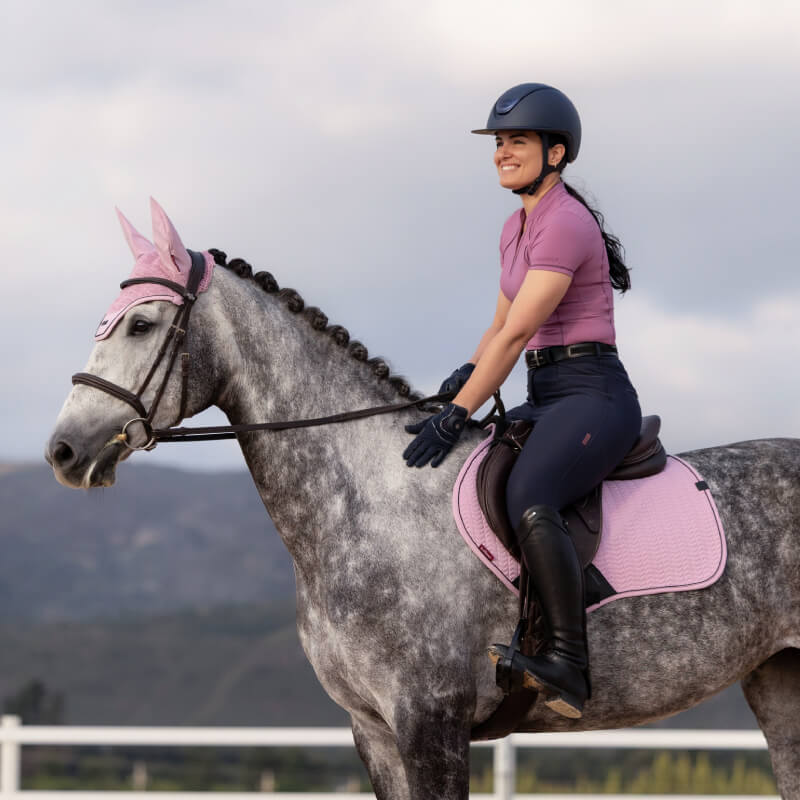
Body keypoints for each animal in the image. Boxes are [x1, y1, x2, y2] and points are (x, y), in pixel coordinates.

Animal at [46, 201, 800, 799]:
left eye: (141, 325)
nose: (62, 451)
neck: (368, 499)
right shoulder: (374, 730)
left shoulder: (430, 720)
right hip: (777, 682)